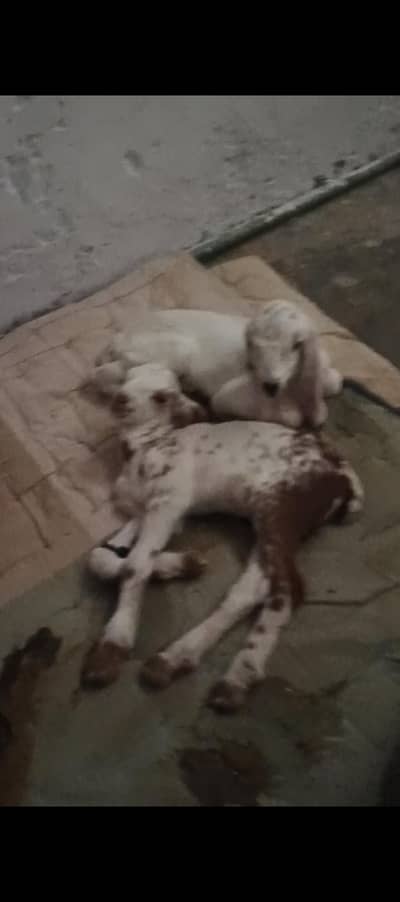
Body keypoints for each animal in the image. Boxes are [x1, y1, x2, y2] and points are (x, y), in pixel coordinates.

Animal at [82, 362, 363, 711]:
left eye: (161, 397)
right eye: (127, 377)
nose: (120, 400)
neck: (147, 447)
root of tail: (343, 476)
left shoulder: (170, 500)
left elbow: (135, 564)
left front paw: (111, 649)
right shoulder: (147, 512)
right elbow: (101, 557)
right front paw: (184, 564)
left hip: (282, 506)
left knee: (288, 589)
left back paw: (237, 678)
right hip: (270, 518)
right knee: (251, 589)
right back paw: (174, 659)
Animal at [92, 302, 342, 430]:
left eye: (297, 344)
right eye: (252, 344)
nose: (270, 384)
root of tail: (119, 338)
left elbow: (336, 382)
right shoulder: (227, 396)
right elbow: (293, 418)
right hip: (168, 352)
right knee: (103, 375)